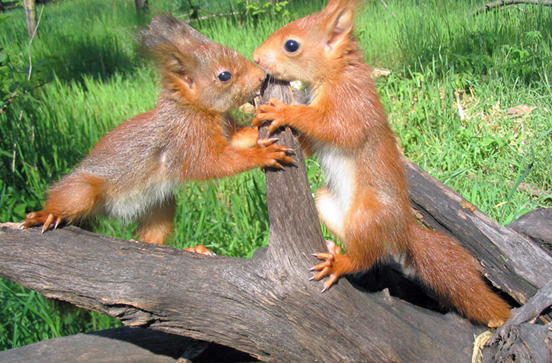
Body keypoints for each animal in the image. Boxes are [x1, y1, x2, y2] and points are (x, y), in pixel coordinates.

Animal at [18, 14, 292, 247]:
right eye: (224, 76)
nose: (262, 76)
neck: (193, 109)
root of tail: (109, 211)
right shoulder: (186, 139)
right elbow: (211, 163)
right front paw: (262, 154)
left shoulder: (223, 132)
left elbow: (237, 140)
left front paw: (261, 129)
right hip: (82, 191)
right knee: (67, 199)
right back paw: (45, 214)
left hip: (159, 207)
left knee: (150, 240)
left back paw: (194, 250)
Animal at [252, 0, 512, 328]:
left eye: (291, 45)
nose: (255, 57)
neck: (337, 74)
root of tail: (403, 229)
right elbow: (310, 144)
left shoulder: (352, 107)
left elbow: (335, 127)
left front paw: (284, 110)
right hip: (328, 203)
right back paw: (334, 248)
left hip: (368, 214)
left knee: (367, 258)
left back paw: (340, 262)